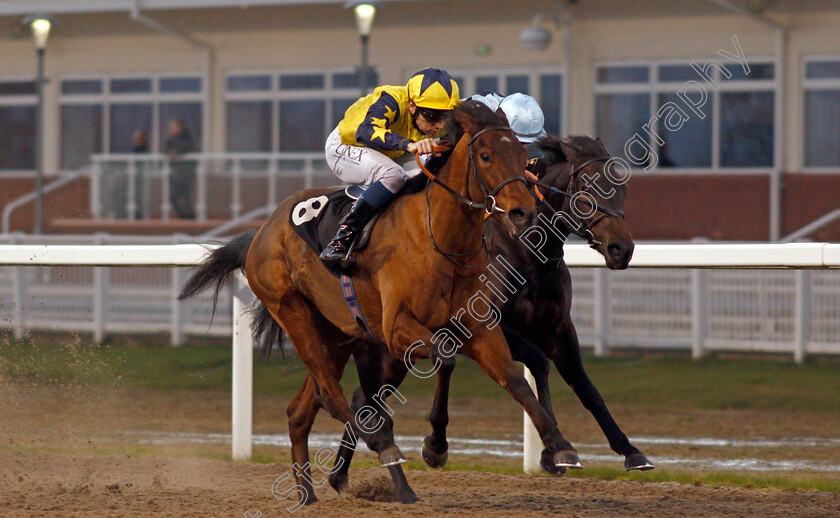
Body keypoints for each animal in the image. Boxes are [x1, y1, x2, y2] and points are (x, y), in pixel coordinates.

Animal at [178, 103, 584, 506]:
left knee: (301, 411)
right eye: (485, 156)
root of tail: (263, 230)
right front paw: (435, 446)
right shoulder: (398, 328)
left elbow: (514, 379)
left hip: (337, 336)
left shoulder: (478, 327)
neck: (441, 238)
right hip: (295, 314)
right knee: (336, 397)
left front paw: (560, 447)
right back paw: (379, 444)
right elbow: (446, 358)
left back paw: (314, 496)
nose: (523, 213)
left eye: (523, 158)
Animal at [324, 134, 652, 496]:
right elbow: (538, 362)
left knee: (364, 398)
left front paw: (629, 451)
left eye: (621, 187)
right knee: (365, 399)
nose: (622, 249)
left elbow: (585, 386)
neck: (526, 252)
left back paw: (340, 475)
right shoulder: (486, 325)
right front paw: (550, 450)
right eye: (587, 187)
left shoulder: (559, 330)